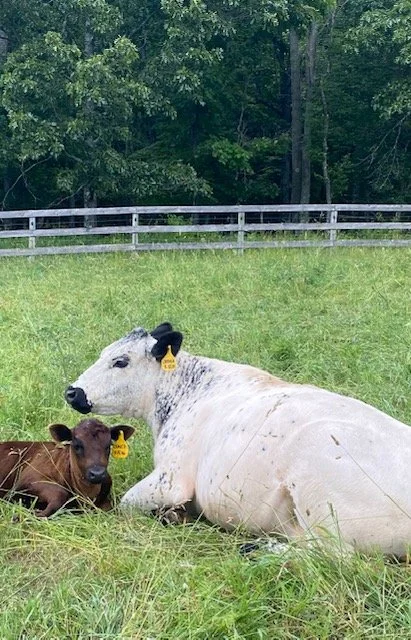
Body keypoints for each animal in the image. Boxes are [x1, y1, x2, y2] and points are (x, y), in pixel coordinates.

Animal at [65, 323, 411, 557]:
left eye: (120, 361)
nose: (72, 391)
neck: (184, 393)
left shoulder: (171, 480)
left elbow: (125, 503)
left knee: (335, 556)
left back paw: (257, 549)